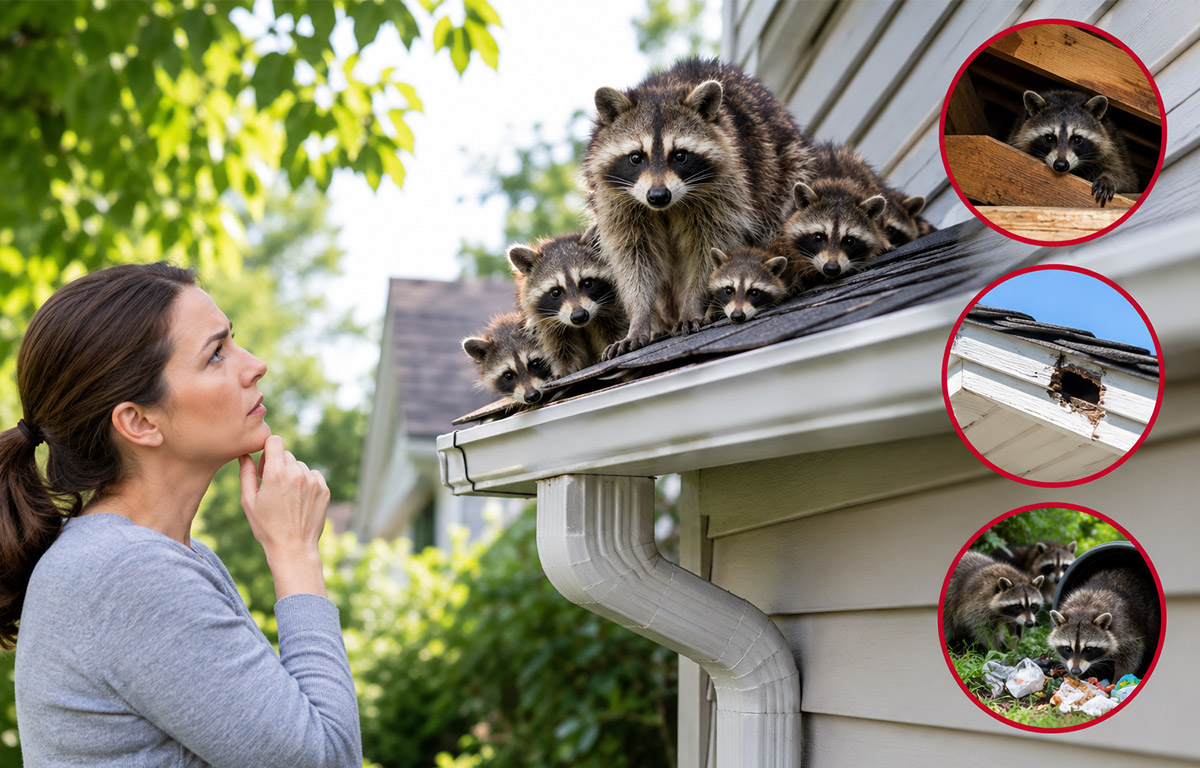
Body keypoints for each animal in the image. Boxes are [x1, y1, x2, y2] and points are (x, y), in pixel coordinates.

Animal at [508, 232, 628, 375]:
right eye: (555, 292)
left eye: (588, 283)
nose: (579, 316)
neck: (583, 326)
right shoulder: (549, 328)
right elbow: (562, 351)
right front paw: (563, 369)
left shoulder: (613, 316)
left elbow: (616, 331)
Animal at [584, 57, 812, 359]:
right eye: (636, 157)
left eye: (680, 155)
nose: (658, 195)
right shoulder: (616, 201)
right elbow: (634, 258)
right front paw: (639, 318)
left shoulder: (727, 188)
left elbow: (708, 248)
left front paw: (693, 304)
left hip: (785, 169)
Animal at [1006, 89, 1137, 207]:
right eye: (1049, 138)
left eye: (1077, 139)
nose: (1061, 165)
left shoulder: (1114, 145)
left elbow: (1123, 175)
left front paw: (1107, 178)